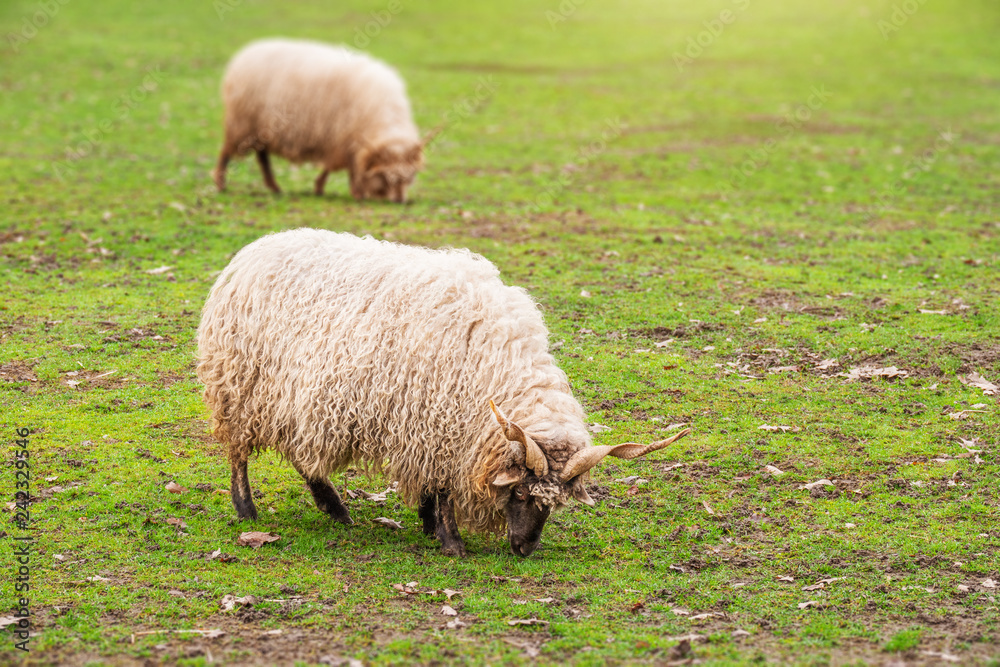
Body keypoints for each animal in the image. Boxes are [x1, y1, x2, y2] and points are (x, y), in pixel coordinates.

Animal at [196, 228, 690, 556]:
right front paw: (450, 539)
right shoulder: (440, 425)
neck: (497, 366)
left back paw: (333, 507)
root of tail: (253, 251)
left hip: (290, 398)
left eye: (554, 504)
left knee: (301, 453)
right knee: (239, 451)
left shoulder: (444, 427)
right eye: (521, 494)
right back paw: (248, 509)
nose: (523, 549)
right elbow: (445, 488)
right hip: (240, 387)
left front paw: (429, 521)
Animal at [212, 39, 424, 202]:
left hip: (260, 127)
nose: (399, 201)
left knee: (262, 156)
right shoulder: (344, 138)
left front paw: (320, 187)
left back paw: (274, 187)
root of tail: (246, 53)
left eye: (411, 177)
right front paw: (355, 192)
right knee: (226, 151)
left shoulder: (344, 140)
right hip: (242, 122)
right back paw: (221, 184)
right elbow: (347, 167)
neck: (383, 119)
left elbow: (333, 166)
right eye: (386, 176)